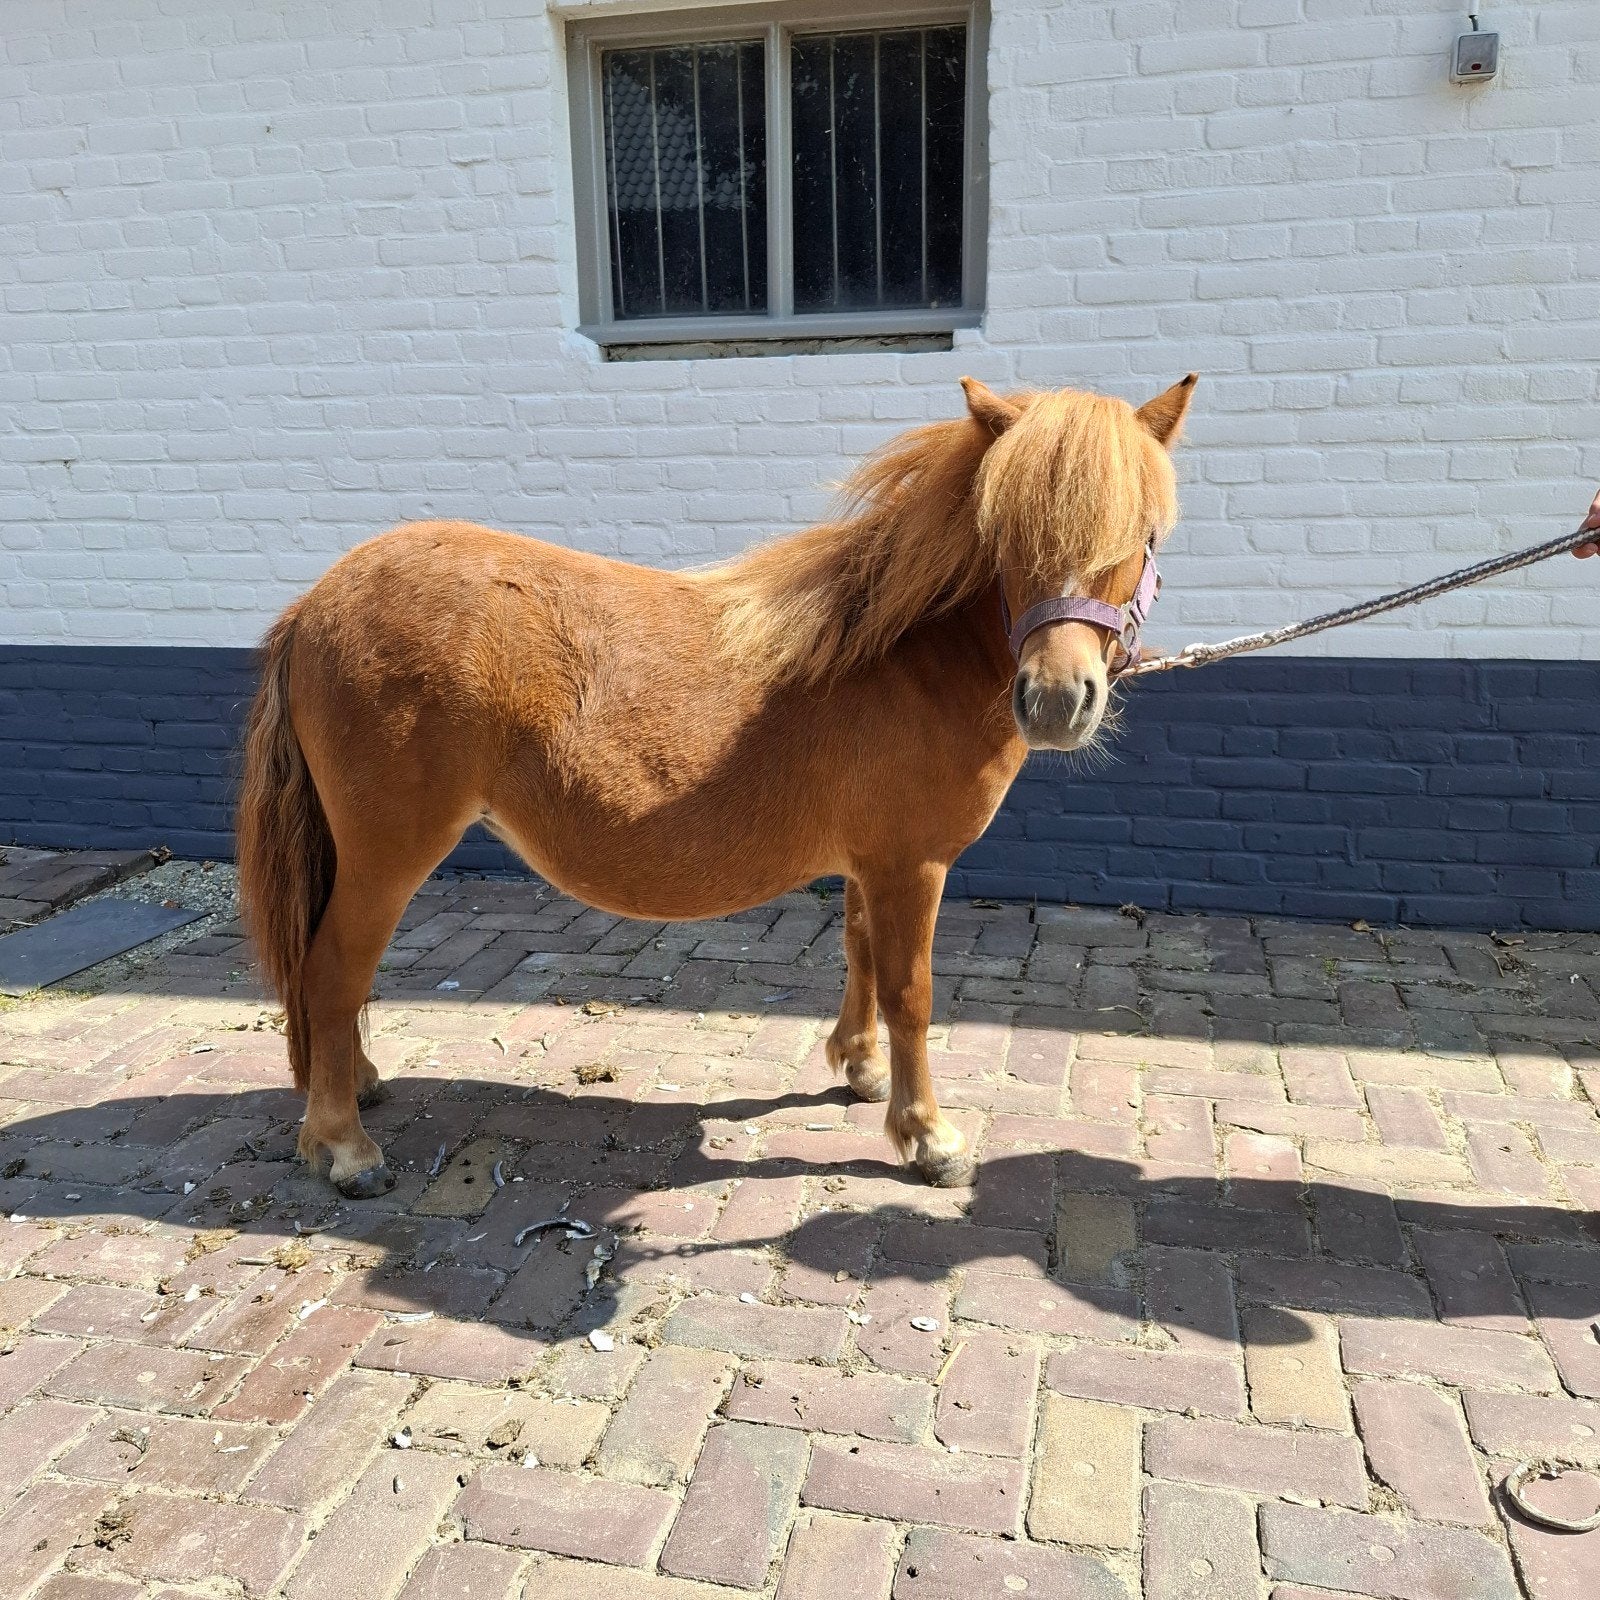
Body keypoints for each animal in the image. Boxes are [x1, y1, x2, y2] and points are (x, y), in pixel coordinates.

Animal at [237, 374, 1196, 1198]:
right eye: (1003, 536)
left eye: (1146, 535)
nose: (1057, 700)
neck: (903, 656)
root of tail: (315, 605)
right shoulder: (913, 865)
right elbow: (911, 993)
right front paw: (928, 1137)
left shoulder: (871, 863)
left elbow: (859, 956)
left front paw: (859, 1069)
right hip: (387, 854)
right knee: (332, 970)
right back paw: (344, 1145)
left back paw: (355, 1082)